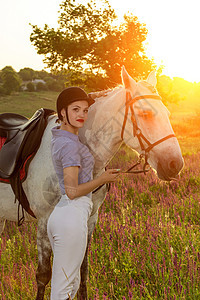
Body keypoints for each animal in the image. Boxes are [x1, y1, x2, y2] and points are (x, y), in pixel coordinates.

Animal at [0, 67, 184, 298]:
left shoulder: (89, 220)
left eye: (167, 114)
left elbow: (82, 272)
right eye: (145, 114)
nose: (175, 164)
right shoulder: (44, 222)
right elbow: (43, 276)